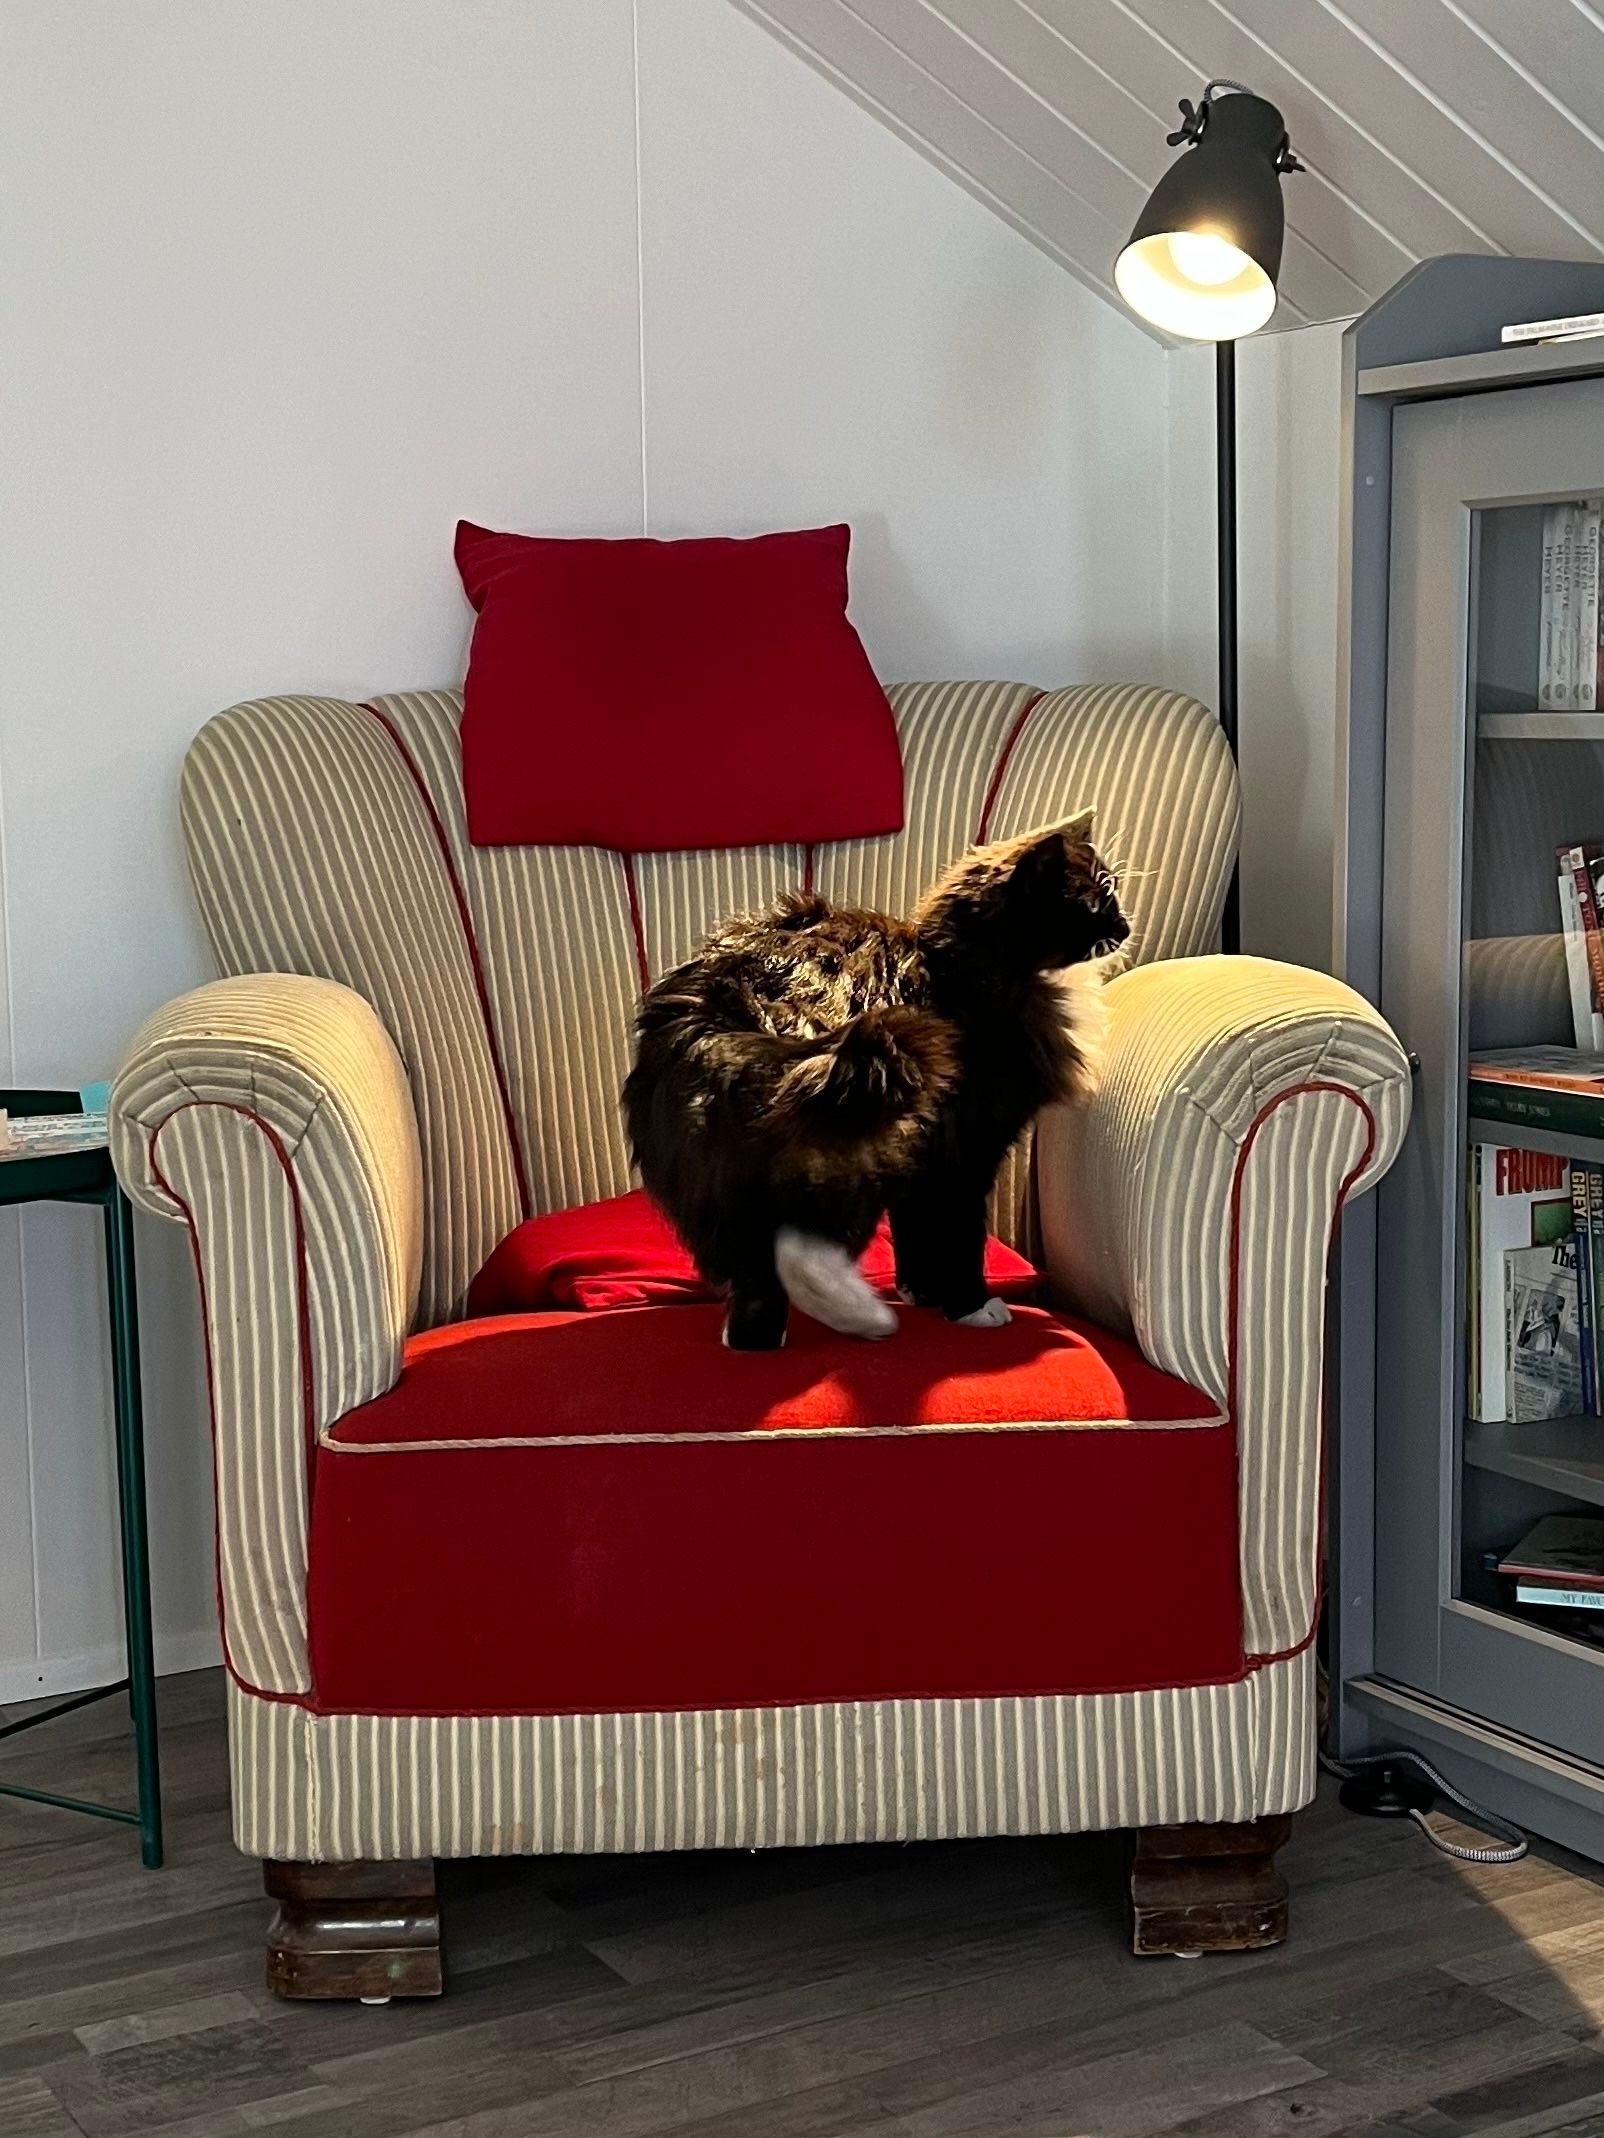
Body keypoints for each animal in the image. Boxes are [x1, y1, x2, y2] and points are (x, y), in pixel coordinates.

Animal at [620, 816, 1120, 1351]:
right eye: (1102, 895)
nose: (1126, 926)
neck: (965, 966)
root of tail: (720, 1004)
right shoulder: (964, 1151)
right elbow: (958, 1240)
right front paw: (971, 1306)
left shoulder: (924, 1161)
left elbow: (915, 1235)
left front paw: (923, 1293)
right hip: (859, 1130)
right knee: (799, 1249)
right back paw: (862, 1318)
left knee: (759, 1274)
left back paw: (760, 1339)